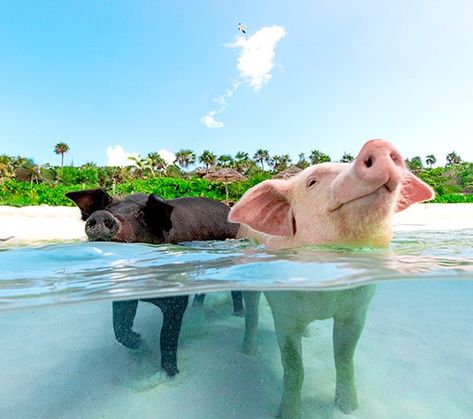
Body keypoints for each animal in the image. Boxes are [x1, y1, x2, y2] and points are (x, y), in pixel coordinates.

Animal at [66, 190, 240, 378]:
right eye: (106, 208)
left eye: (141, 214)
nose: (100, 215)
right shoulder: (124, 296)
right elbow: (119, 327)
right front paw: (141, 342)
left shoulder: (176, 298)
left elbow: (167, 335)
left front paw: (171, 374)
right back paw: (197, 307)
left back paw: (239, 315)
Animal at [228, 140, 432, 416]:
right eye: (312, 182)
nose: (378, 143)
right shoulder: (285, 315)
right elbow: (294, 367)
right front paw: (288, 414)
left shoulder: (356, 310)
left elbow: (345, 357)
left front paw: (349, 409)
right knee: (252, 315)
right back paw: (248, 351)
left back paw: (308, 335)